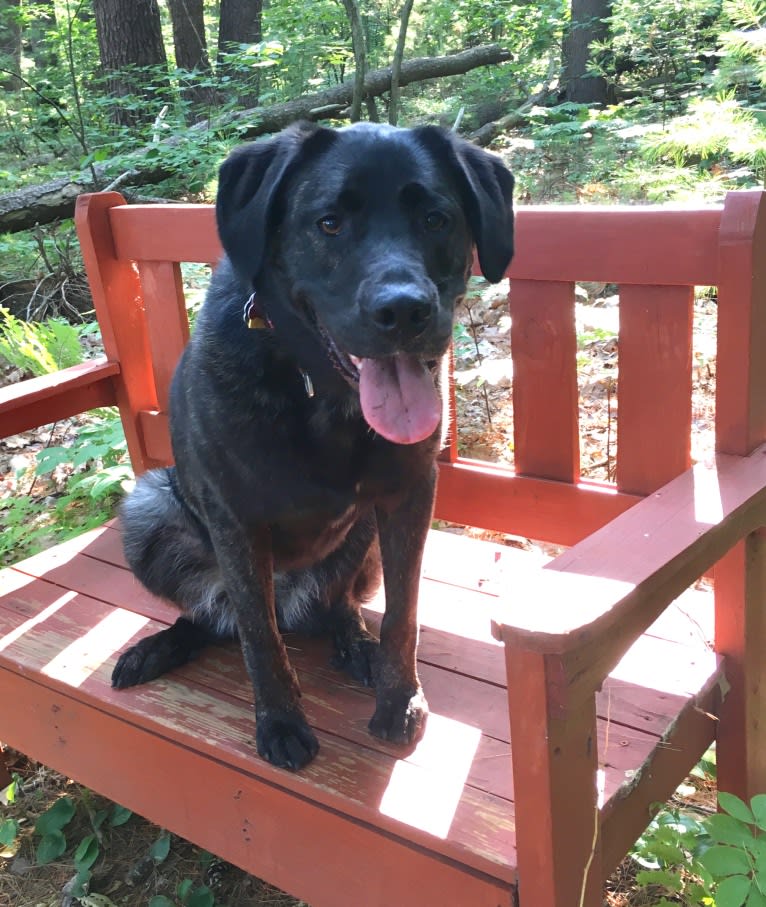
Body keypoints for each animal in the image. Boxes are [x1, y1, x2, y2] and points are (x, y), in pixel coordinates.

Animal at [112, 120, 516, 768]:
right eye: (329, 223)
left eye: (436, 219)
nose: (405, 311)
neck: (322, 396)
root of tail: (293, 599)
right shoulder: (234, 519)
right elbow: (258, 636)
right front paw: (280, 721)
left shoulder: (408, 496)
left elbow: (403, 614)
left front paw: (400, 700)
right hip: (149, 507)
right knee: (217, 618)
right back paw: (158, 647)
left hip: (362, 536)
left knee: (337, 604)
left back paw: (356, 645)